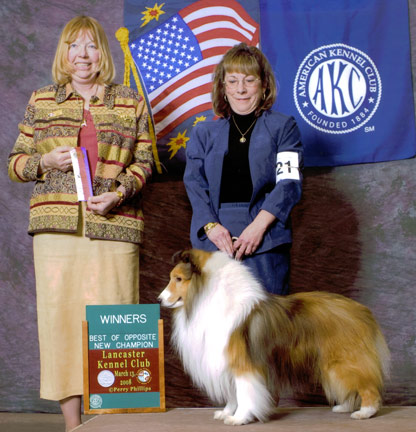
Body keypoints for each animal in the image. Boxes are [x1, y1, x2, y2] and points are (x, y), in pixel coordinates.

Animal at [158, 249, 390, 425]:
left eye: (178, 279)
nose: (159, 299)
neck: (205, 296)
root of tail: (361, 311)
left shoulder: (243, 364)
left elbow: (244, 393)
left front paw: (239, 418)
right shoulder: (226, 362)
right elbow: (233, 394)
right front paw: (226, 413)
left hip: (344, 361)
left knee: (368, 386)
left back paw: (365, 412)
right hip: (331, 364)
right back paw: (344, 407)